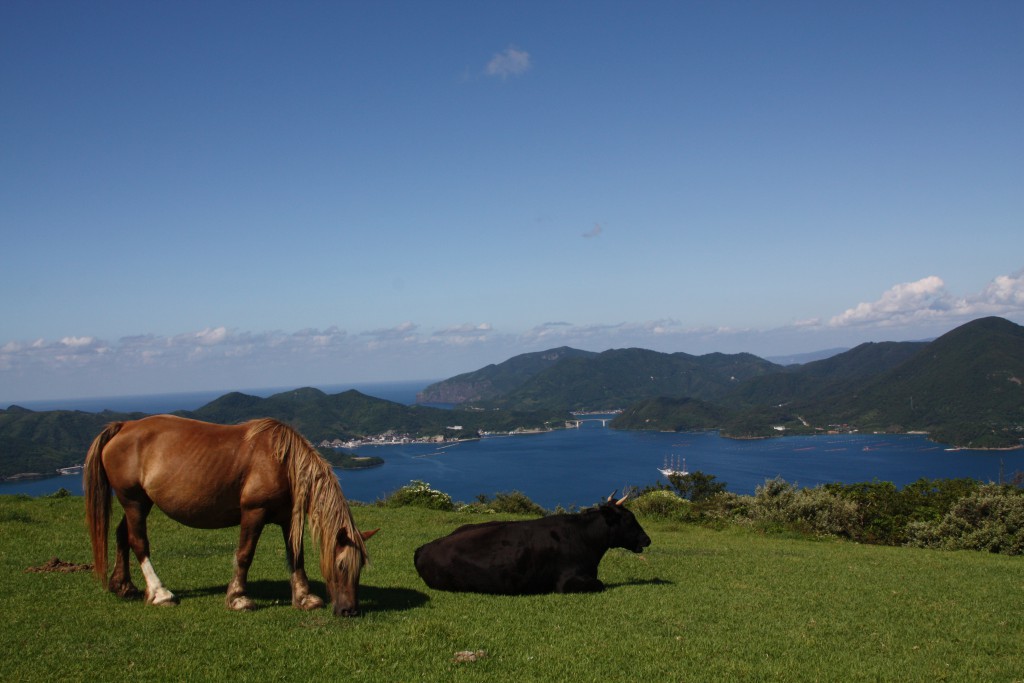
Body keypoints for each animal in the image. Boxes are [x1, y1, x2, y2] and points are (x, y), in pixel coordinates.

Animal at [81, 413, 374, 618]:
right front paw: (238, 598)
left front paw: (304, 598)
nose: (350, 610)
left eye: (360, 566)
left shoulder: (288, 518)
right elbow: (245, 555)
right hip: (134, 500)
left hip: (140, 501)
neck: (282, 462)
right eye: (341, 566)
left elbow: (296, 556)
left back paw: (123, 586)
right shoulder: (253, 513)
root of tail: (124, 426)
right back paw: (160, 593)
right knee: (138, 540)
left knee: (123, 534)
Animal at [411, 493, 651, 593]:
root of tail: (424, 547)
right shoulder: (567, 582)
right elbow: (600, 585)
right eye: (629, 519)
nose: (647, 539)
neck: (585, 538)